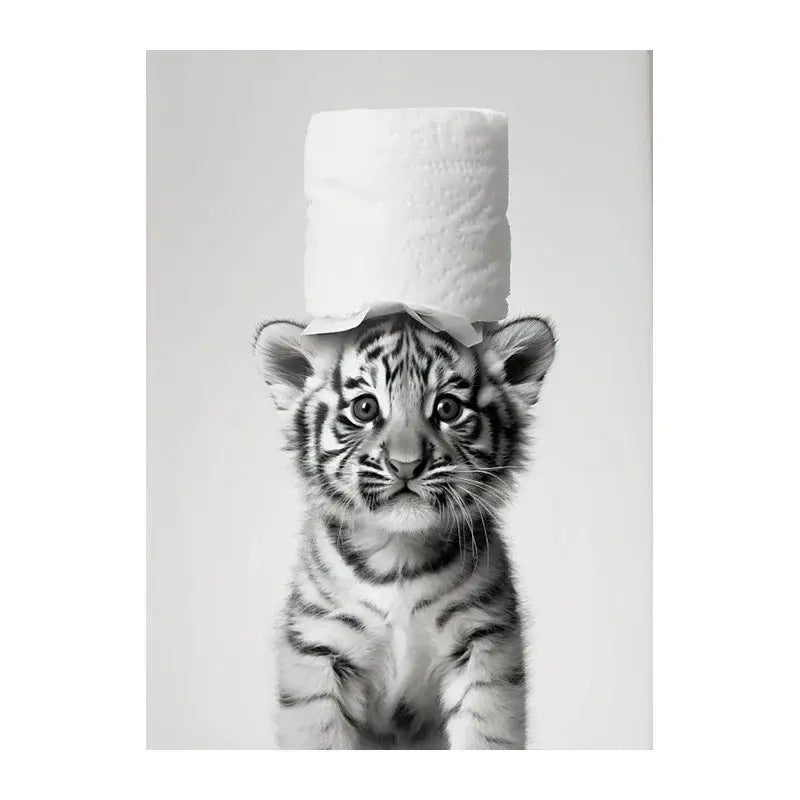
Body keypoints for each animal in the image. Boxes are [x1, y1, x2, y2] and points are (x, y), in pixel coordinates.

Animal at [253, 312, 556, 749]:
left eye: (447, 408)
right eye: (365, 408)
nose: (406, 464)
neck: (398, 554)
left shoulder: (485, 644)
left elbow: (485, 735)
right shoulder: (319, 648)